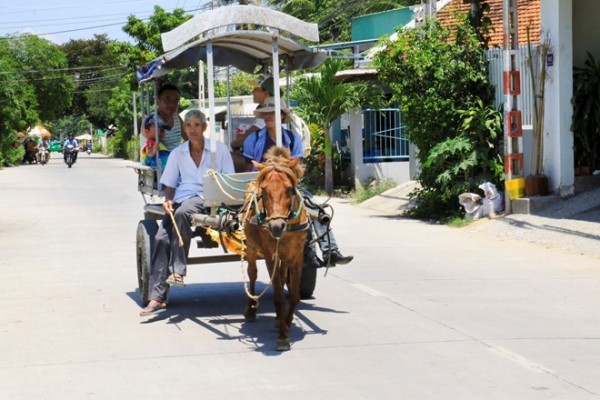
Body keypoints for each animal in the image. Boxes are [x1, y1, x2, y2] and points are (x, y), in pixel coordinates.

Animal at [241, 146, 310, 350]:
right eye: (264, 190)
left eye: (289, 189)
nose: (276, 226)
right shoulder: (270, 254)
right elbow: (278, 296)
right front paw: (282, 336)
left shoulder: (297, 255)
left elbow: (294, 295)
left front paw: (286, 322)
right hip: (251, 247)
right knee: (252, 274)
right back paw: (251, 309)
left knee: (281, 275)